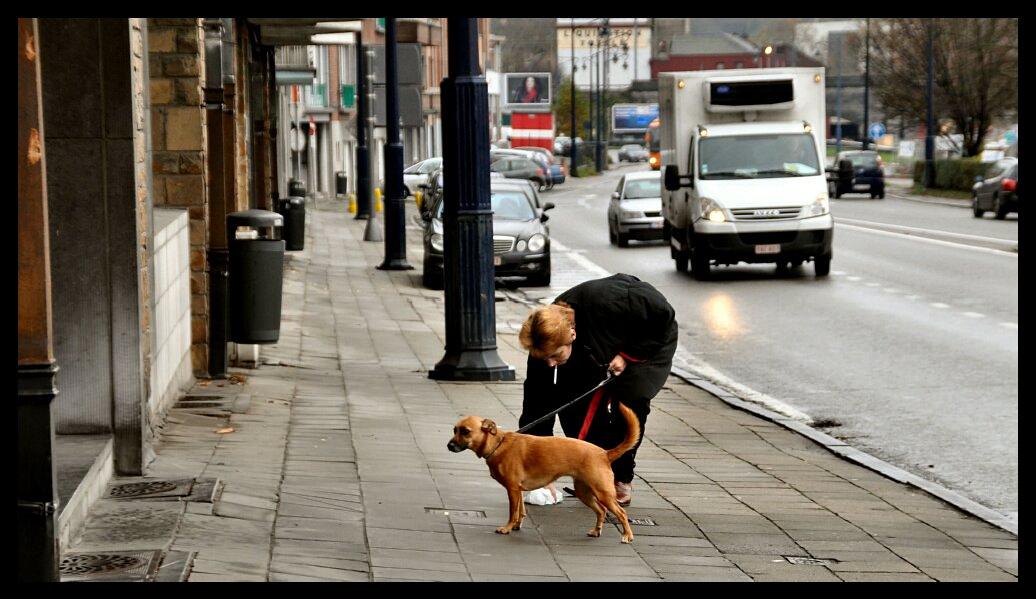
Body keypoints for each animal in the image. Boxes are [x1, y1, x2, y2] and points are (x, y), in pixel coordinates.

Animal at [445, 402, 638, 538]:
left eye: (466, 431)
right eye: (454, 430)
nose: (449, 446)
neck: (497, 444)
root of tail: (604, 453)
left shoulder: (512, 490)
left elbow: (512, 512)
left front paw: (507, 528)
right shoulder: (518, 491)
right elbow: (520, 511)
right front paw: (516, 526)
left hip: (603, 493)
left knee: (621, 513)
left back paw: (627, 536)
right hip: (584, 492)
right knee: (602, 511)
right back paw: (596, 531)